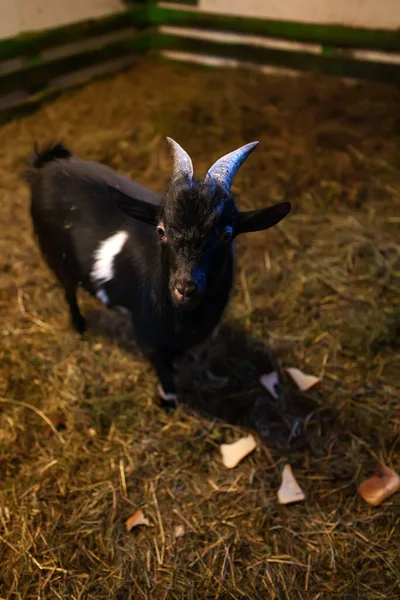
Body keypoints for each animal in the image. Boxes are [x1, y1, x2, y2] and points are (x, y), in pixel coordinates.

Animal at [25, 137, 290, 408]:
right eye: (161, 231)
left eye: (227, 235)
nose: (185, 288)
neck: (184, 321)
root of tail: (47, 166)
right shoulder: (146, 334)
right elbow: (162, 368)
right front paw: (168, 401)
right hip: (55, 256)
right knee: (68, 291)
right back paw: (79, 326)